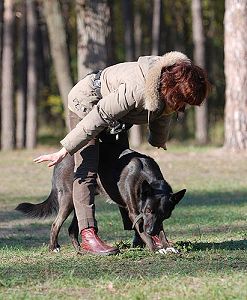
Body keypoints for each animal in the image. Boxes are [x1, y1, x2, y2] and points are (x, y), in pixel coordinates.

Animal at [15, 138, 185, 253]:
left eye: (165, 215)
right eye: (148, 210)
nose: (151, 232)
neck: (146, 175)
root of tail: (63, 159)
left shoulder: (154, 219)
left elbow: (161, 229)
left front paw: (166, 245)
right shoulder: (135, 213)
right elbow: (142, 229)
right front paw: (155, 248)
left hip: (81, 201)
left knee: (72, 228)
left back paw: (80, 249)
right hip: (69, 199)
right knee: (55, 224)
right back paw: (53, 247)